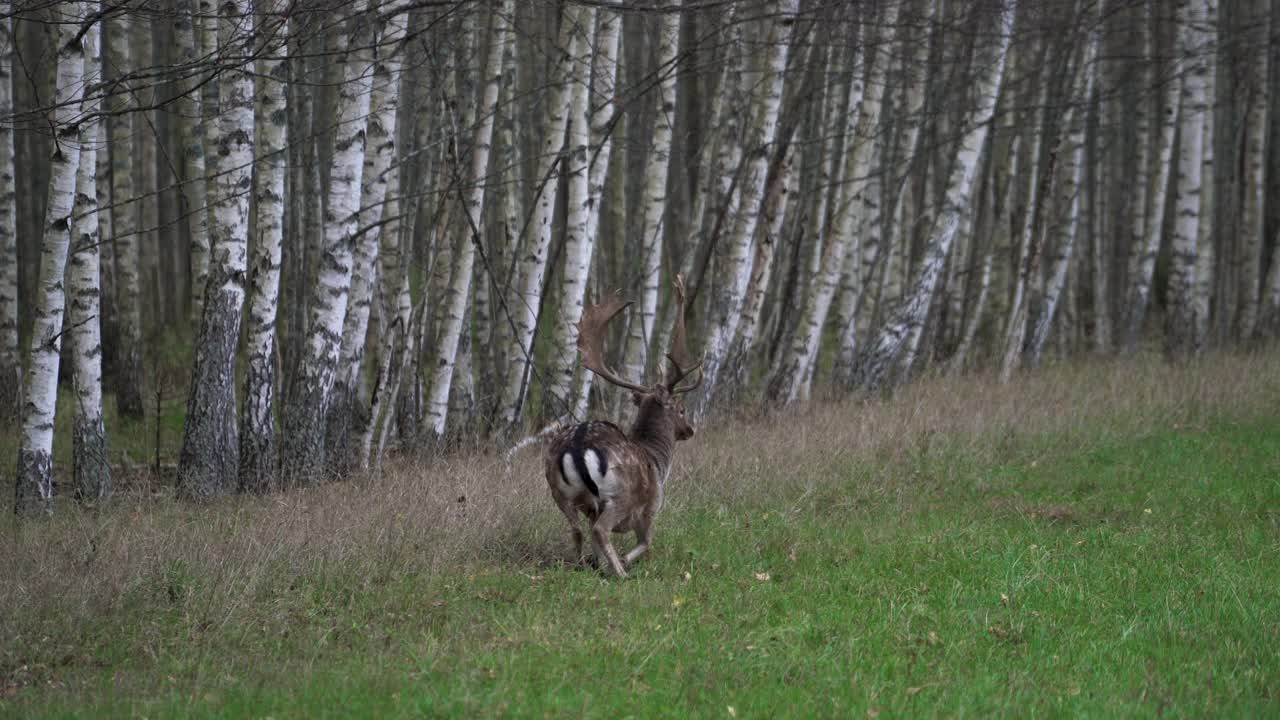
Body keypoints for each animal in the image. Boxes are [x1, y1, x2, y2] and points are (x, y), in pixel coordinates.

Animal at [540, 274, 701, 576]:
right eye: (682, 409)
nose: (690, 430)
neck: (659, 461)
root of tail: (576, 445)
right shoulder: (650, 508)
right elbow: (647, 542)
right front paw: (624, 561)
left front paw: (598, 564)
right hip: (619, 495)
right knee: (600, 530)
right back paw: (621, 573)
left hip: (559, 490)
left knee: (577, 529)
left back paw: (582, 565)